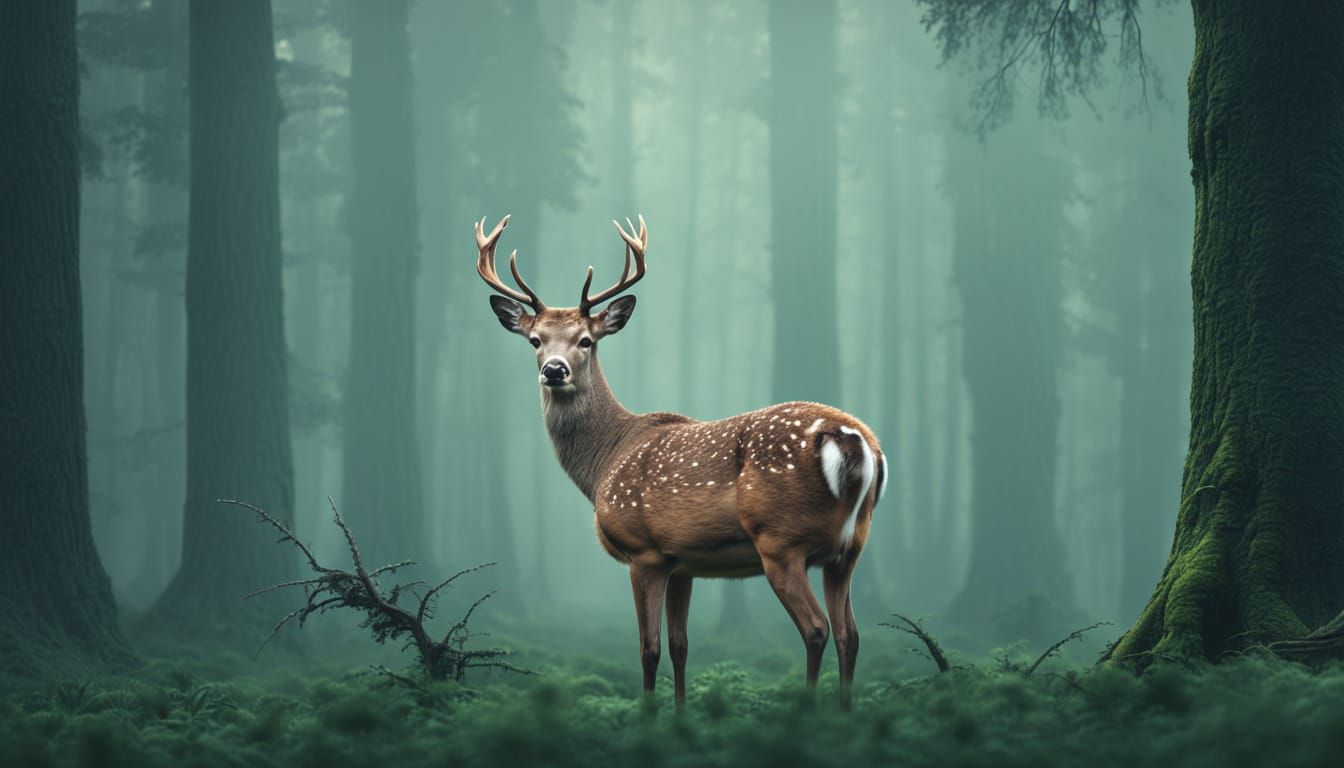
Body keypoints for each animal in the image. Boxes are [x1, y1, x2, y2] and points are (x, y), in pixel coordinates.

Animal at [474, 214, 886, 707]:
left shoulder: (643, 550)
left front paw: (649, 715)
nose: (554, 370)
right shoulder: (683, 561)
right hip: (850, 547)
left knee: (817, 629)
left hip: (781, 540)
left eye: (586, 341)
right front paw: (680, 714)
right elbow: (680, 646)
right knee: (851, 634)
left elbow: (649, 650)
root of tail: (853, 441)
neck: (606, 459)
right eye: (535, 339)